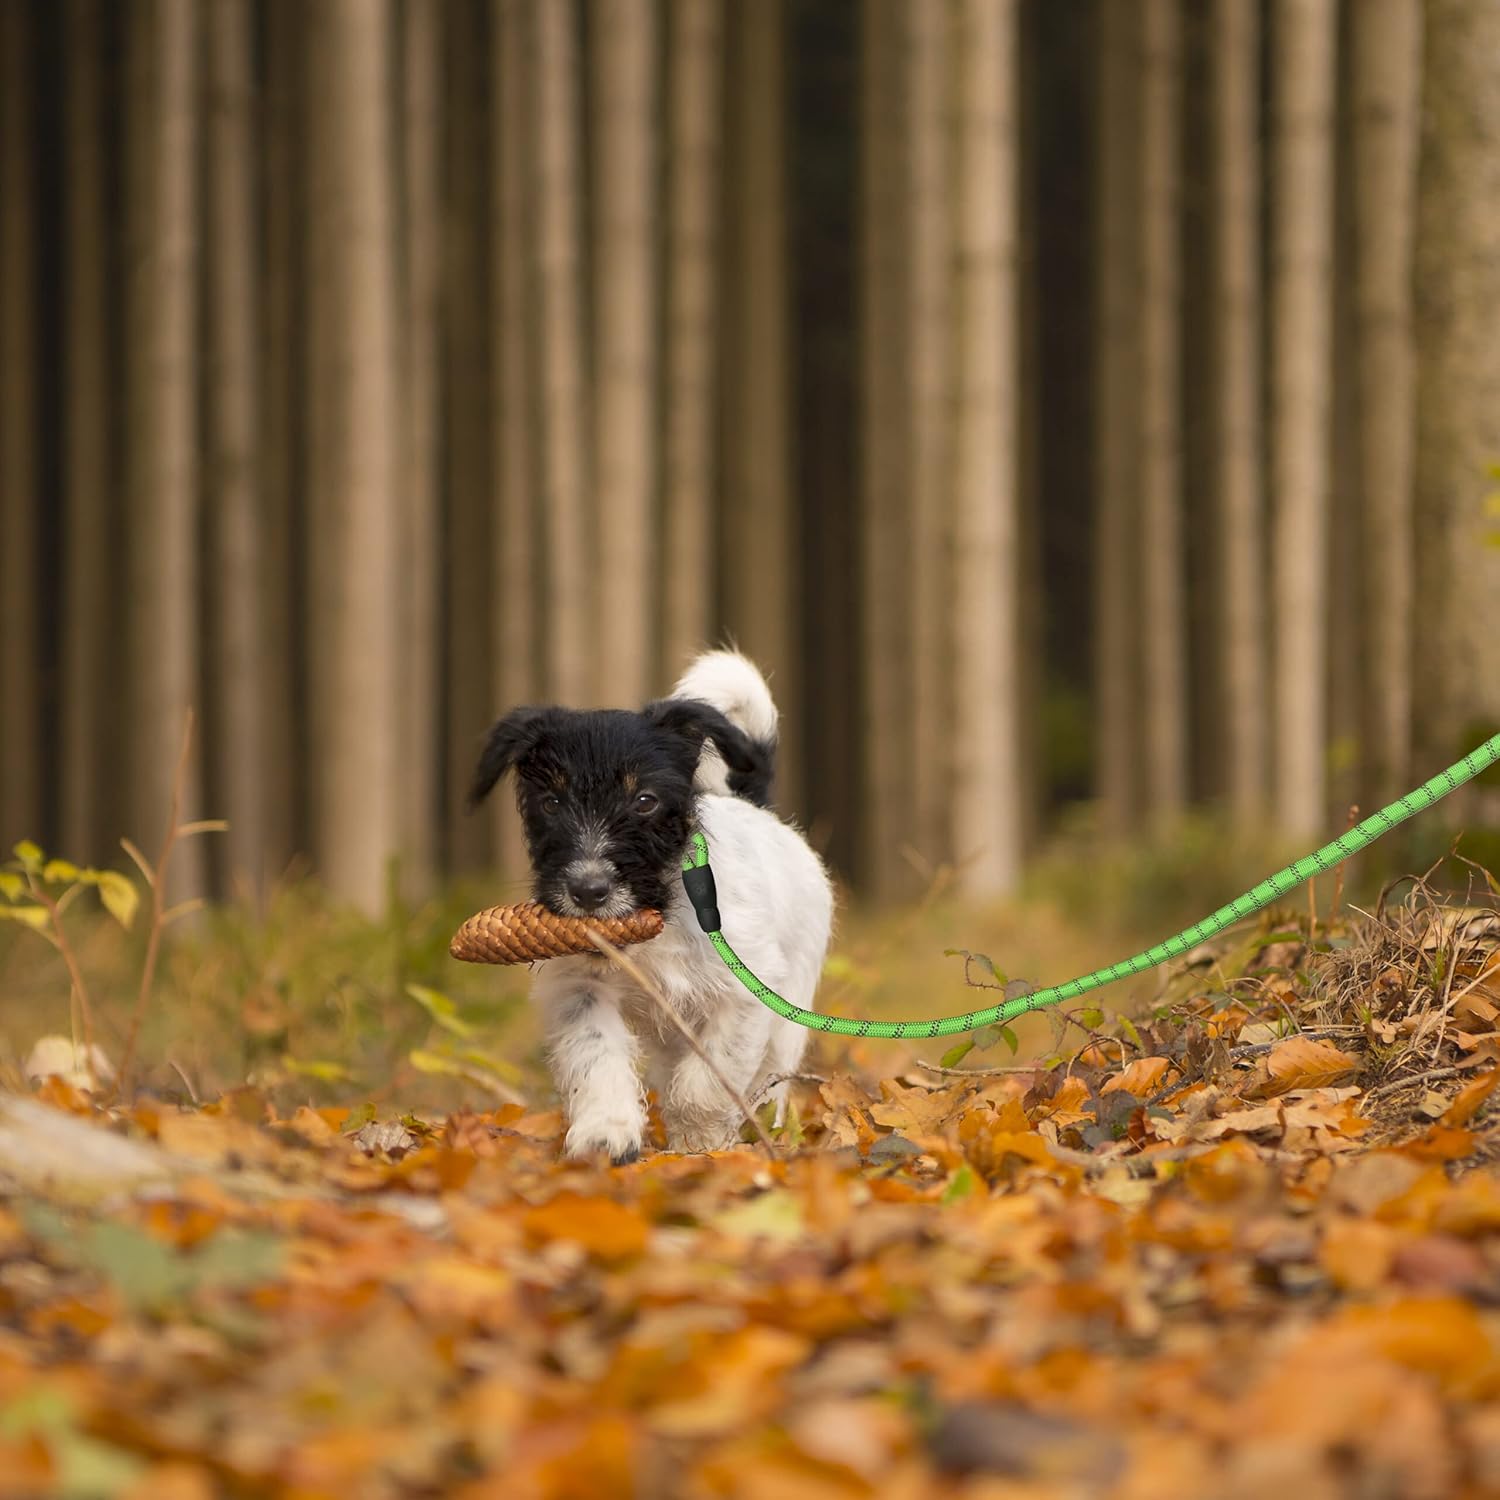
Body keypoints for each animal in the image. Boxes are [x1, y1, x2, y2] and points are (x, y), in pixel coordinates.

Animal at [468, 648, 834, 1158]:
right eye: (551, 802)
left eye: (644, 800)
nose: (588, 891)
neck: (659, 915)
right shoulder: (579, 988)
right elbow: (595, 1054)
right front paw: (605, 1131)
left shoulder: (745, 990)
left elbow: (712, 1077)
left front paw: (699, 1140)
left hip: (789, 1008)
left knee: (771, 1072)